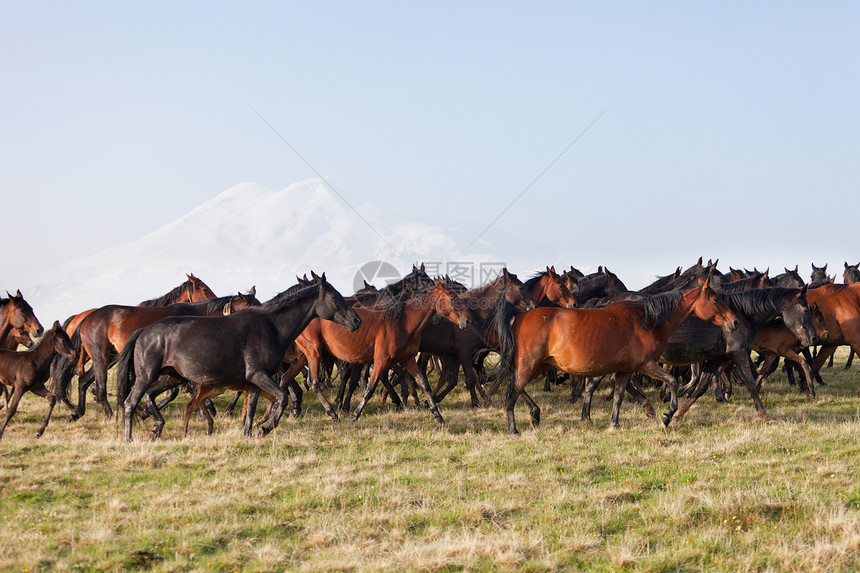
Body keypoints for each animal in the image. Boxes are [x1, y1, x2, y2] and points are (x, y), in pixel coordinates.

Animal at [116, 270, 358, 440]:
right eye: (334, 296)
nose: (357, 320)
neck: (271, 326)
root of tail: (144, 331)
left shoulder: (254, 381)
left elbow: (250, 409)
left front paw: (249, 433)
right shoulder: (258, 375)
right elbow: (282, 397)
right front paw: (265, 428)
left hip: (171, 377)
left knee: (149, 397)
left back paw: (156, 428)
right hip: (147, 376)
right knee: (130, 402)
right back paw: (129, 438)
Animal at [494, 280, 744, 432]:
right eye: (715, 299)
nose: (735, 322)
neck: (647, 320)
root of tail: (519, 317)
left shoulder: (624, 370)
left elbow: (618, 397)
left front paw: (614, 424)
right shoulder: (645, 364)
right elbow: (672, 381)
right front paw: (667, 415)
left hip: (540, 365)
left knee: (515, 388)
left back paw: (534, 415)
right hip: (528, 365)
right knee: (511, 393)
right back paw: (514, 428)